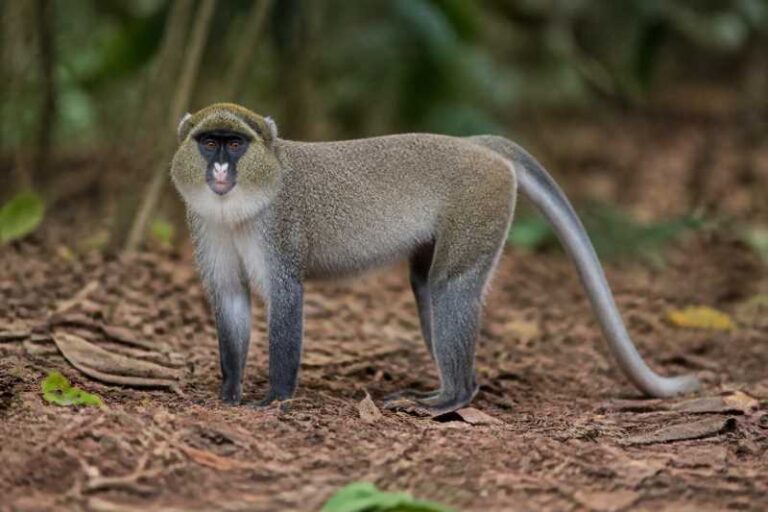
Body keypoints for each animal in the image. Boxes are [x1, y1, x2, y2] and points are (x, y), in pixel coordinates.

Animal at [170, 102, 700, 415]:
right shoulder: (206, 225)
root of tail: (474, 146)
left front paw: (275, 397)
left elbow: (285, 299)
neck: (241, 205)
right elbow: (230, 298)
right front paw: (229, 391)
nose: (220, 169)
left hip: (481, 205)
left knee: (451, 287)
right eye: (209, 142)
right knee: (427, 286)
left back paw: (452, 396)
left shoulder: (279, 230)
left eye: (235, 143)